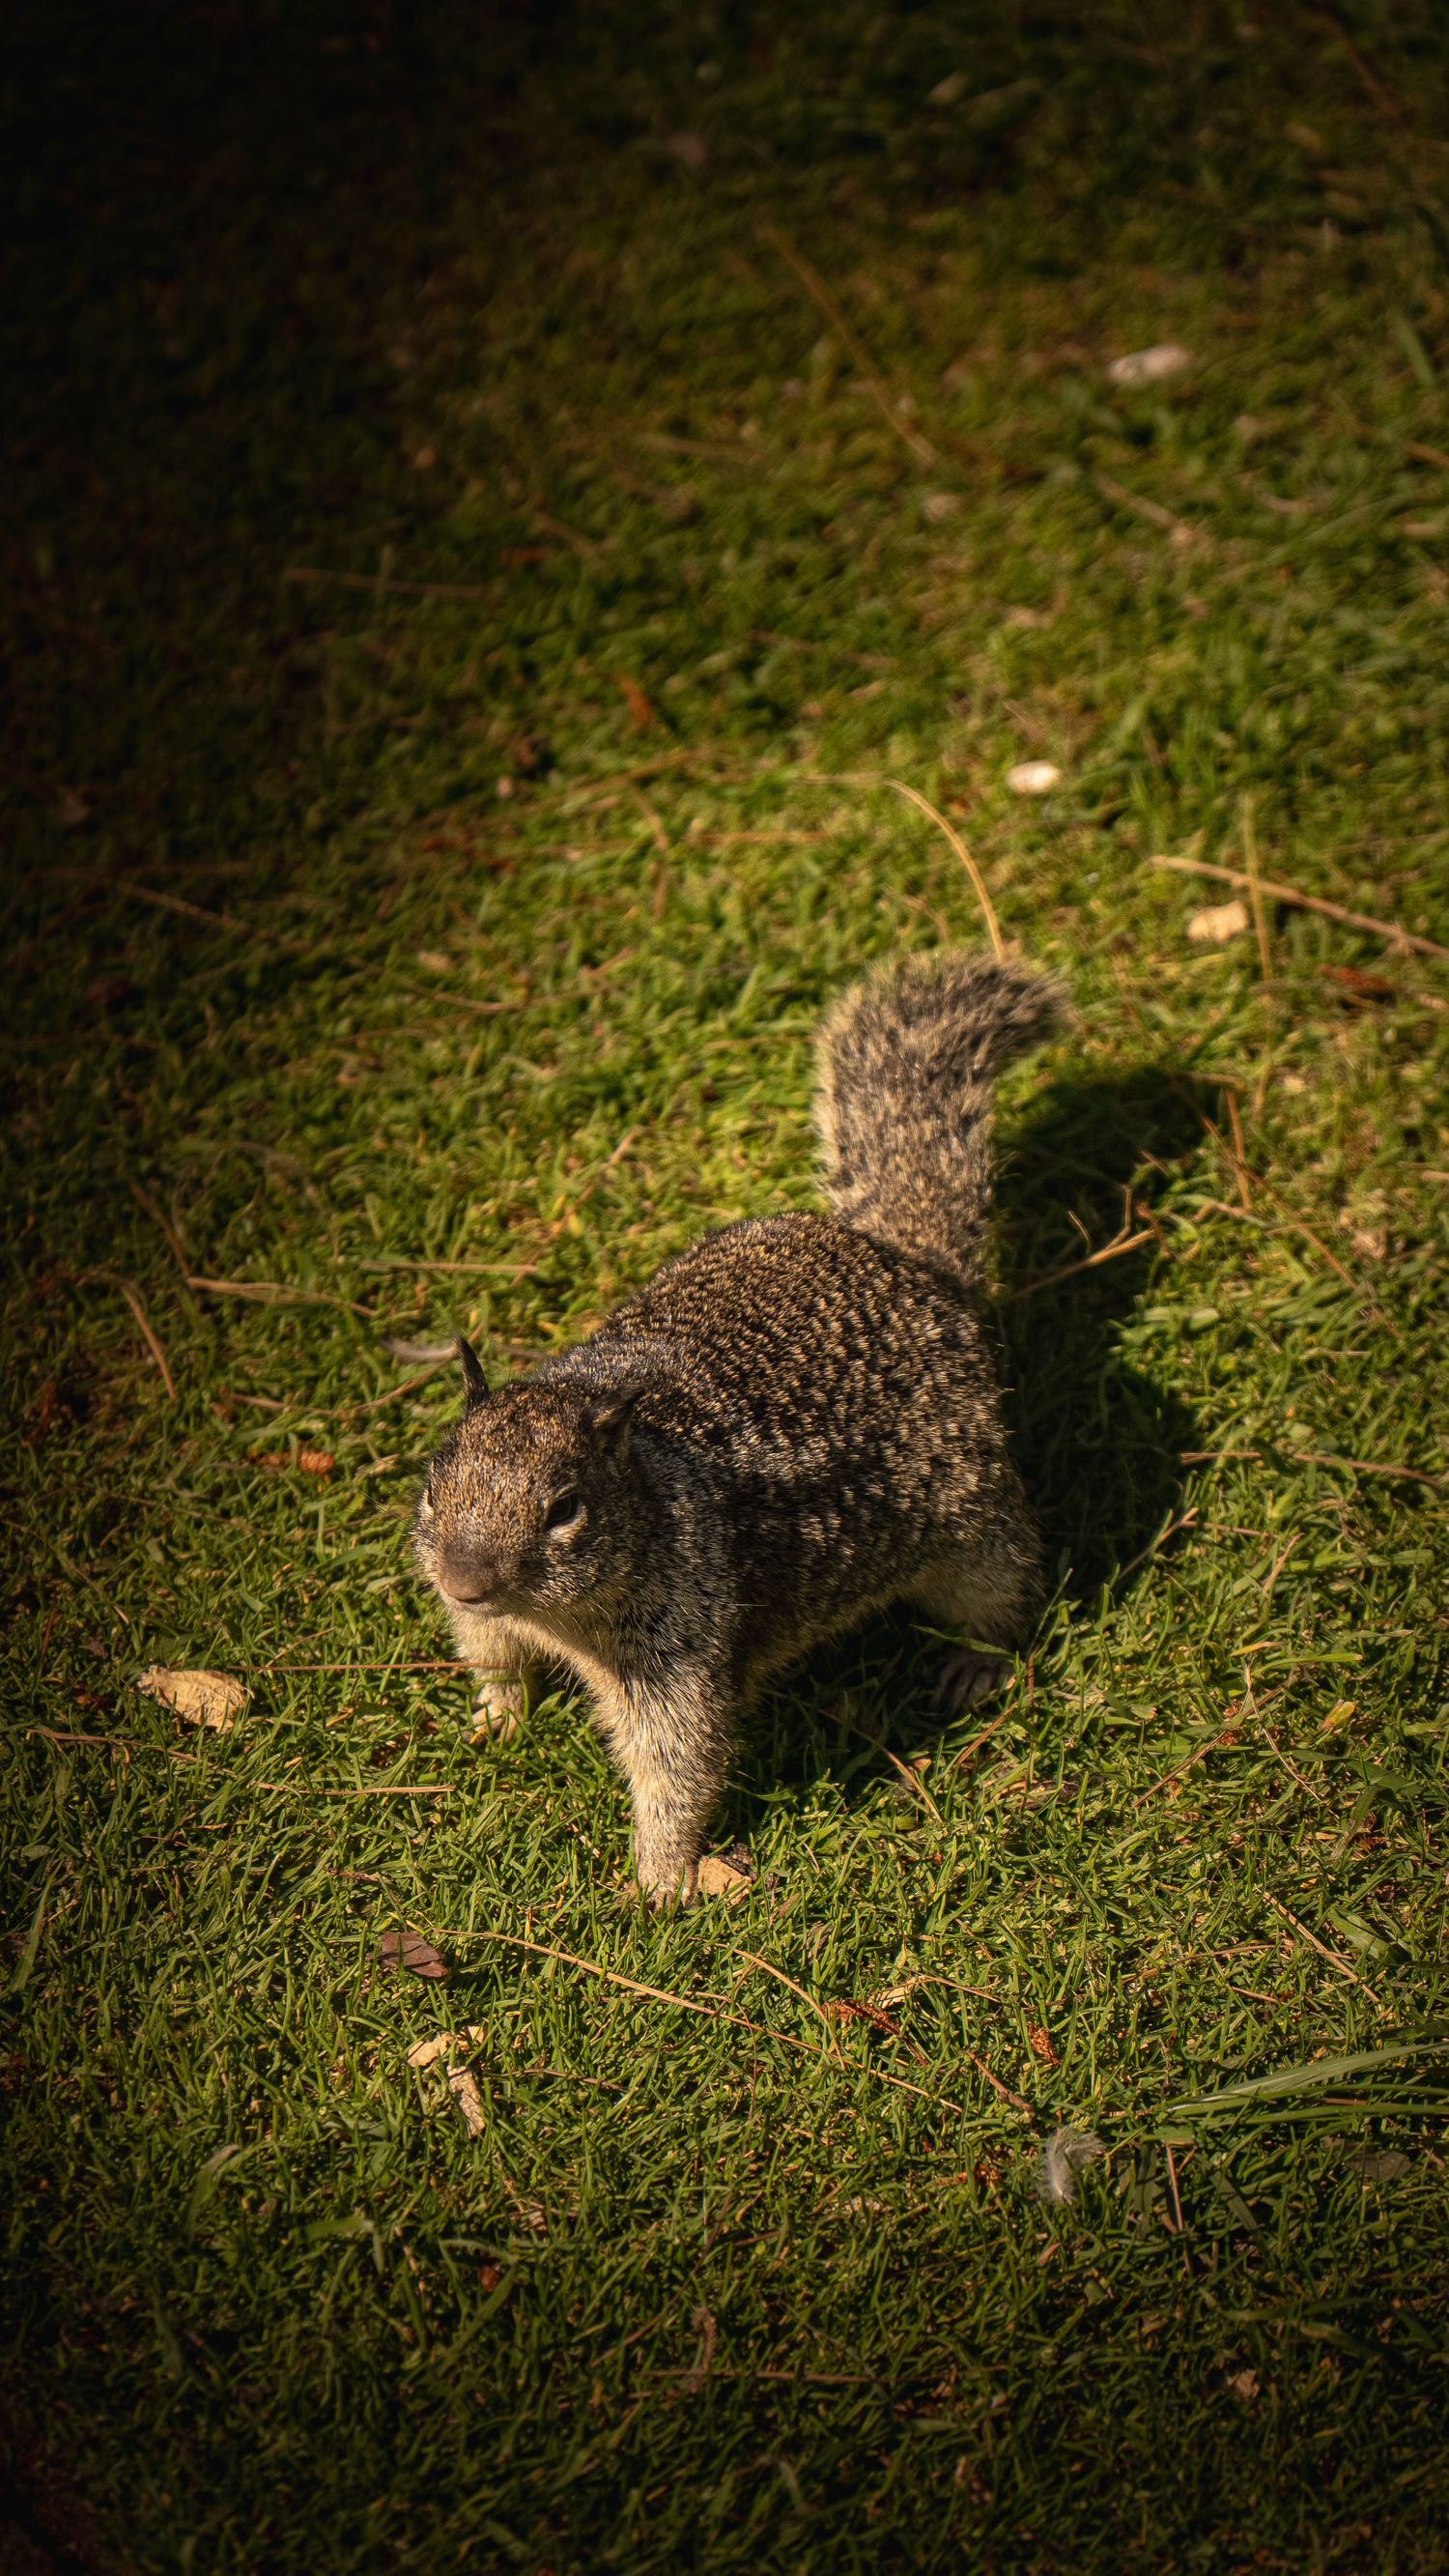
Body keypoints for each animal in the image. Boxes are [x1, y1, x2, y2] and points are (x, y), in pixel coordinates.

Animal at [415, 948, 1067, 1903]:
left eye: (566, 1510)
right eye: (437, 1482)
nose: (464, 1581)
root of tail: (909, 1259)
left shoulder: (680, 1652)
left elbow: (677, 1765)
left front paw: (660, 1879)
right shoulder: (492, 1619)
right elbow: (493, 1653)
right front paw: (494, 1715)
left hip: (977, 1525)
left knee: (1011, 1590)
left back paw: (974, 1661)